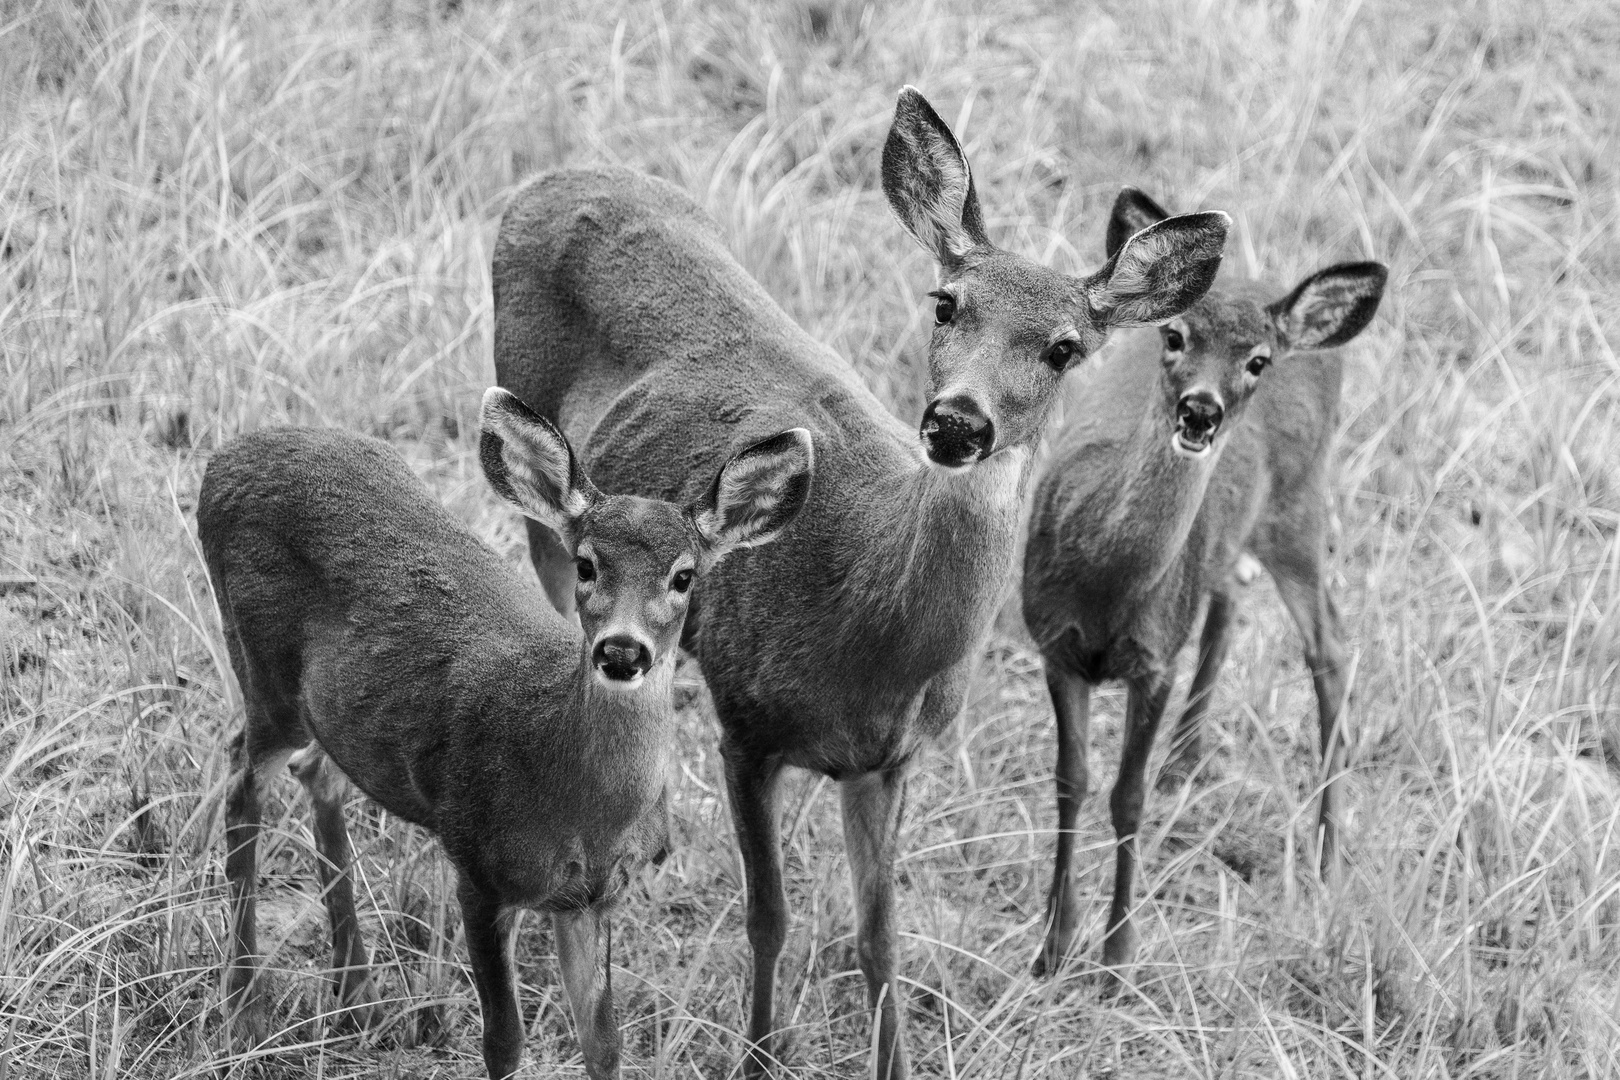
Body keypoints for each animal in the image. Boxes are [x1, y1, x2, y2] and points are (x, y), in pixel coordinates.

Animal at [198, 388, 813, 1080]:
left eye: (683, 577)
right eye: (585, 564)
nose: (621, 652)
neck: (579, 806)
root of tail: (225, 457)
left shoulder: (593, 898)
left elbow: (605, 1044)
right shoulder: (479, 868)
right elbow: (504, 1041)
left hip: (341, 716)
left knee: (316, 774)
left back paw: (358, 994)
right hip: (262, 666)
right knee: (240, 780)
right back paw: (245, 1006)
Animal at [488, 89, 1229, 1078]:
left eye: (1066, 348)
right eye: (946, 302)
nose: (957, 422)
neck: (862, 624)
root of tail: (551, 179)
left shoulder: (888, 758)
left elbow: (880, 937)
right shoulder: (747, 724)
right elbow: (770, 916)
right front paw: (761, 1053)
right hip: (538, 478)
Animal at [1020, 186, 1388, 978]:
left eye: (1257, 361)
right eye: (1174, 337)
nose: (1200, 409)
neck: (1106, 583)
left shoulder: (1155, 659)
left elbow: (1127, 797)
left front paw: (1118, 956)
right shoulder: (1053, 644)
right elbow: (1072, 780)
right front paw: (1053, 946)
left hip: (1299, 507)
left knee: (1331, 648)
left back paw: (1326, 860)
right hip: (1244, 536)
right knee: (1231, 597)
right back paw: (1188, 758)